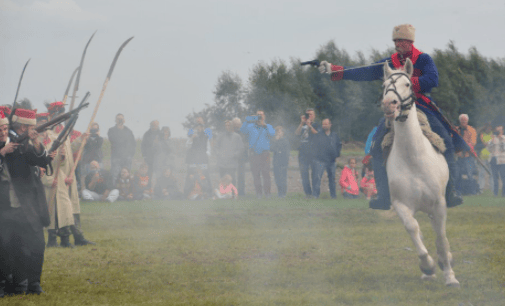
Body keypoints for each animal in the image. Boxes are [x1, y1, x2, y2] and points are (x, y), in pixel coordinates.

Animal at [382, 59, 456, 286]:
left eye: (407, 84)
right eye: (384, 85)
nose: (389, 104)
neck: (413, 158)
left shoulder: (439, 203)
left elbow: (441, 238)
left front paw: (450, 276)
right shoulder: (401, 204)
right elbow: (413, 229)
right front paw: (428, 265)